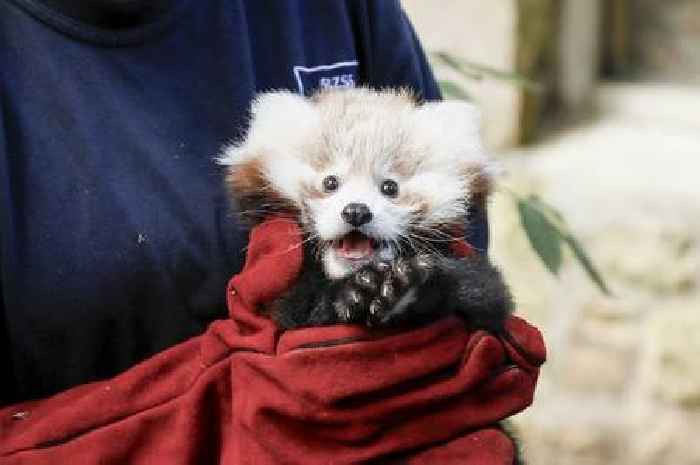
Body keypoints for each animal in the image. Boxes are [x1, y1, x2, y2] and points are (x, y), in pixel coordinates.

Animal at [220, 88, 516, 330]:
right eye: (330, 182)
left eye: (390, 187)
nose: (356, 211)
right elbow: (298, 309)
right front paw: (355, 294)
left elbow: (487, 293)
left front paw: (408, 289)